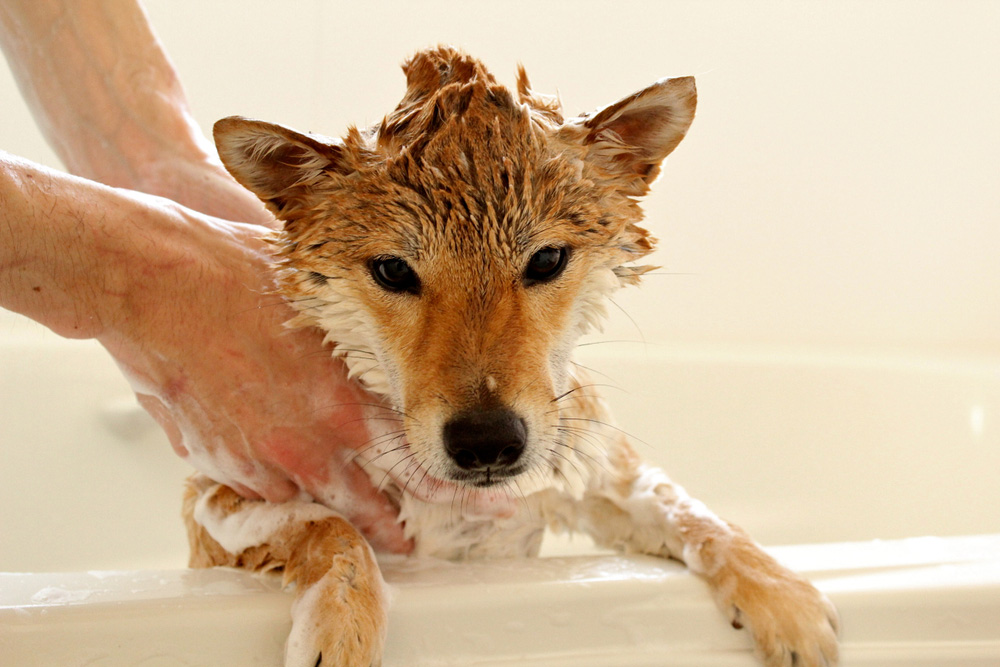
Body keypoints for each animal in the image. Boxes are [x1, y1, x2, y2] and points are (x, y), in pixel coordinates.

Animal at [184, 47, 840, 667]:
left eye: (546, 260)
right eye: (393, 270)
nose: (486, 441)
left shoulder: (592, 472)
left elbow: (697, 516)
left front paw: (784, 599)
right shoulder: (217, 502)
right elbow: (329, 528)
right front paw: (338, 623)